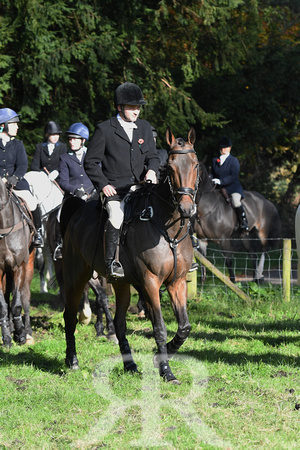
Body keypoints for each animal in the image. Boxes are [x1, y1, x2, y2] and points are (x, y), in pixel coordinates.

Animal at [59, 126, 198, 384]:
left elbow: (184, 327)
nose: (186, 208)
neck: (168, 230)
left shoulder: (177, 281)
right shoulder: (150, 282)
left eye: (195, 164)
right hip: (76, 277)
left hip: (121, 283)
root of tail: (77, 212)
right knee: (70, 316)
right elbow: (160, 327)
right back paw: (72, 361)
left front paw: (161, 357)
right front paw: (166, 370)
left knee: (119, 323)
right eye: (170, 167)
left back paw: (130, 364)